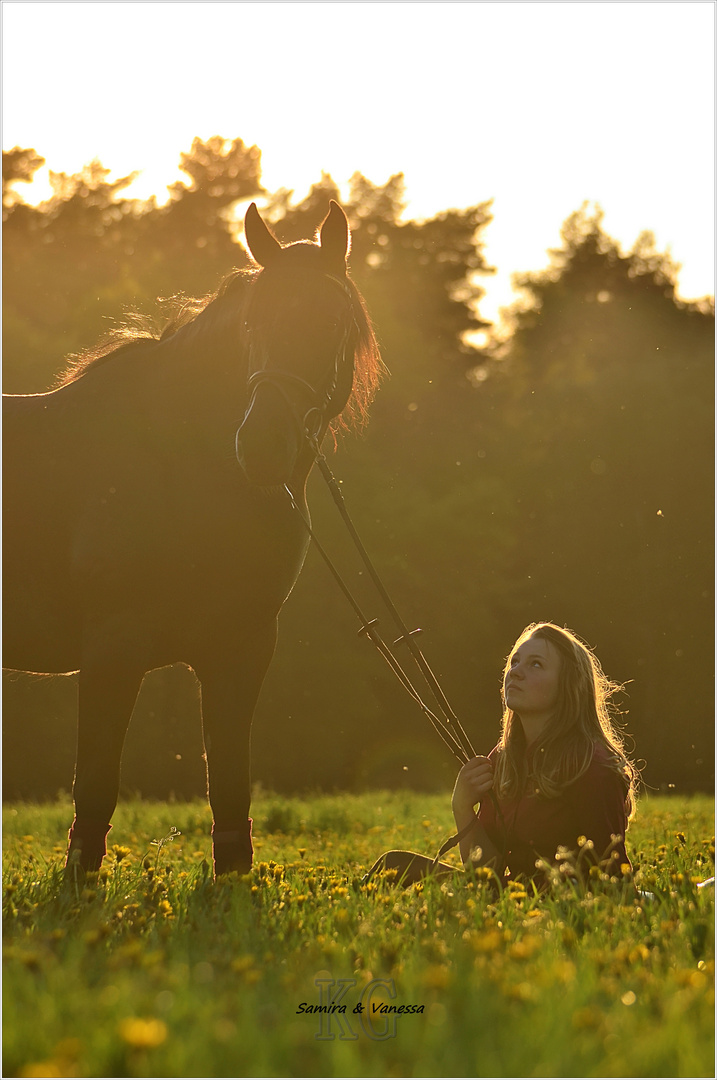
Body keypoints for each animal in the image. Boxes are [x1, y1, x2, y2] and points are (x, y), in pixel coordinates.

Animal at [2, 200, 384, 876]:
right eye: (255, 322)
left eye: (332, 321)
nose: (261, 446)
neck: (179, 466)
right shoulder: (112, 647)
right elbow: (94, 784)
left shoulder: (242, 647)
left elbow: (229, 785)